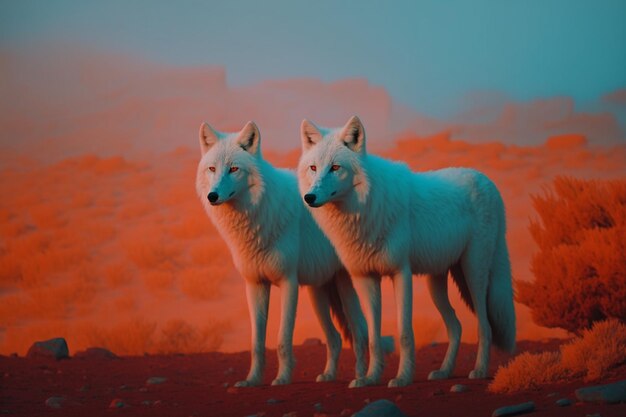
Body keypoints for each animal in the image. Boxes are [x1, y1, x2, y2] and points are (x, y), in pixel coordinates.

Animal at [196, 120, 366, 386]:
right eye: (212, 169)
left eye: (233, 169)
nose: (212, 196)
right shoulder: (255, 285)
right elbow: (256, 343)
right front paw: (252, 380)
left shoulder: (288, 283)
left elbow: (282, 340)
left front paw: (282, 378)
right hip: (317, 294)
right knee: (335, 338)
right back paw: (328, 375)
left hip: (344, 288)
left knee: (360, 332)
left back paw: (361, 378)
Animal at [294, 114, 516, 386]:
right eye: (313, 168)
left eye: (335, 168)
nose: (310, 197)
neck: (363, 211)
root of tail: (489, 182)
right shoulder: (365, 278)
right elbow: (373, 337)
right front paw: (370, 378)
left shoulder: (401, 273)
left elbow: (404, 333)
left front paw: (402, 377)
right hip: (436, 284)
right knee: (456, 326)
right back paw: (444, 372)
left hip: (474, 274)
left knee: (485, 326)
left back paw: (480, 370)